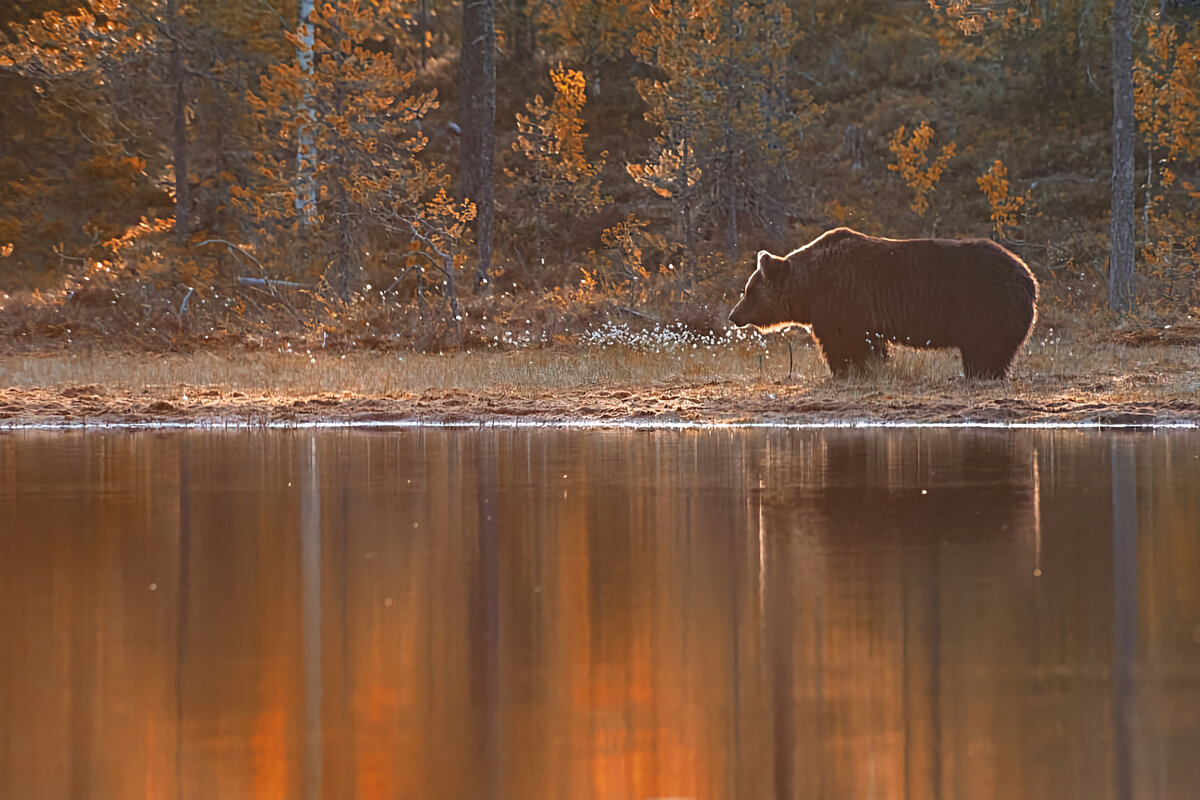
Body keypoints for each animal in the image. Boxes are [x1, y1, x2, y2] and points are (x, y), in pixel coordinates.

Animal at [724, 226, 1036, 381]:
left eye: (749, 291)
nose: (733, 316)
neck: (811, 288)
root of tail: (1029, 277)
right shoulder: (862, 313)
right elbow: (870, 345)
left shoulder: (844, 300)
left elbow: (844, 343)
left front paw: (846, 372)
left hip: (986, 304)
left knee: (986, 348)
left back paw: (981, 374)